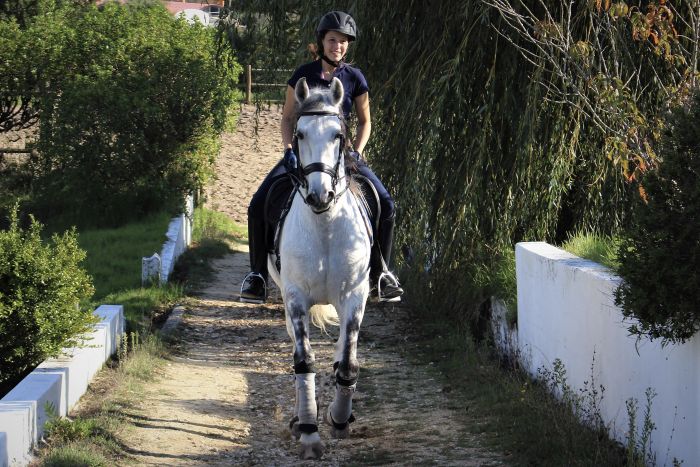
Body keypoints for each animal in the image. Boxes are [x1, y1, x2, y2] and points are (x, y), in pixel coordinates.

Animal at [266, 77, 372, 460]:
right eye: (299, 134)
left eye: (338, 135)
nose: (319, 195)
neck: (324, 224)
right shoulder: (295, 298)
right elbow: (304, 361)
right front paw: (309, 431)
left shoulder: (355, 295)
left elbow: (349, 361)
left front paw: (338, 418)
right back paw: (300, 420)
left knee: (343, 351)